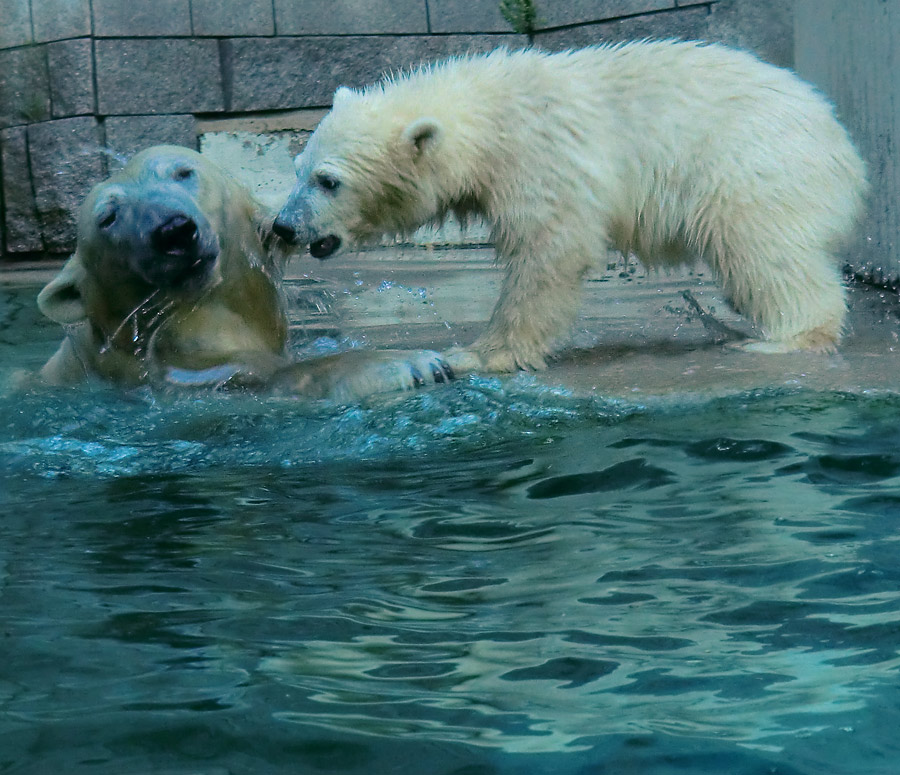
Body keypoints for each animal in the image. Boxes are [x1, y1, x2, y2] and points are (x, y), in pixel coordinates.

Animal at [276, 41, 872, 374]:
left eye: (329, 181)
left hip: (752, 167)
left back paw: (784, 339)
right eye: (298, 170)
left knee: (764, 250)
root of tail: (843, 145)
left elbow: (550, 249)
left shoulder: (538, 156)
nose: (282, 226)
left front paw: (479, 353)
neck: (486, 117)